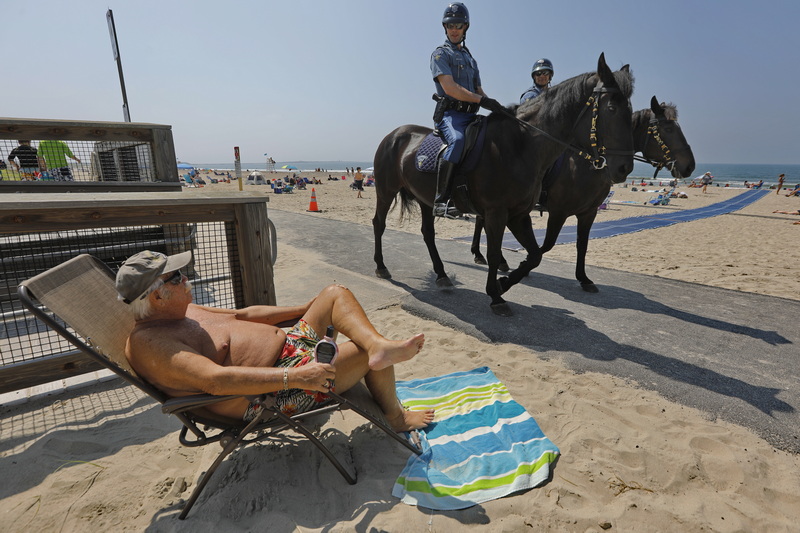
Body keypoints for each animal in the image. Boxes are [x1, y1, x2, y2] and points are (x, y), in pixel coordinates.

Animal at [372, 53, 636, 316]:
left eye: (631, 111)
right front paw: (496, 295)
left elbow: (536, 254)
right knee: (379, 224)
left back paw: (442, 275)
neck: (520, 145)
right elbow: (497, 251)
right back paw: (381, 266)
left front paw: (503, 283)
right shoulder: (502, 212)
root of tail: (395, 134)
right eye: (611, 108)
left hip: (426, 200)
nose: (625, 168)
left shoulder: (520, 215)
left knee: (428, 233)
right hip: (385, 191)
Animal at [472, 95, 696, 290]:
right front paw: (524, 266)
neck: (588, 165)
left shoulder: (589, 212)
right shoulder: (558, 212)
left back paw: (487, 256)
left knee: (482, 222)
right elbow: (547, 245)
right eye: (668, 129)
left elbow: (582, 245)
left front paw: (583, 278)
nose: (690, 166)